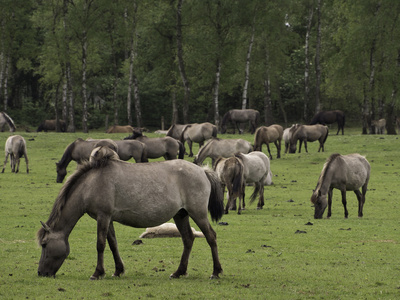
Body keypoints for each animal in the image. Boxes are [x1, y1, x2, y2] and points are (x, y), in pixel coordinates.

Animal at [36, 146, 225, 280]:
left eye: (44, 244)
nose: (41, 273)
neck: (91, 183)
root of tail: (202, 171)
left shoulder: (103, 217)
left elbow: (100, 244)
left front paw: (97, 273)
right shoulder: (107, 219)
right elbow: (112, 243)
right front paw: (117, 270)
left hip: (198, 213)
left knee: (211, 237)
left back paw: (216, 272)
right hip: (181, 214)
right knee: (188, 239)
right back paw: (178, 272)